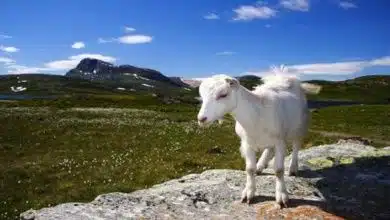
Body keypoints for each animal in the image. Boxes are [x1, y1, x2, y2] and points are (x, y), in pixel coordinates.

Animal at [197, 68, 322, 207]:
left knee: (296, 146)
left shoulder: (280, 142)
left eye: (223, 94)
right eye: (202, 96)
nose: (201, 119)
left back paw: (293, 168)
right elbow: (249, 169)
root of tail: (286, 79)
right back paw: (260, 165)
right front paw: (249, 193)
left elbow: (279, 170)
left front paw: (282, 195)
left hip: (300, 127)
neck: (256, 114)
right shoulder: (247, 143)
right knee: (269, 149)